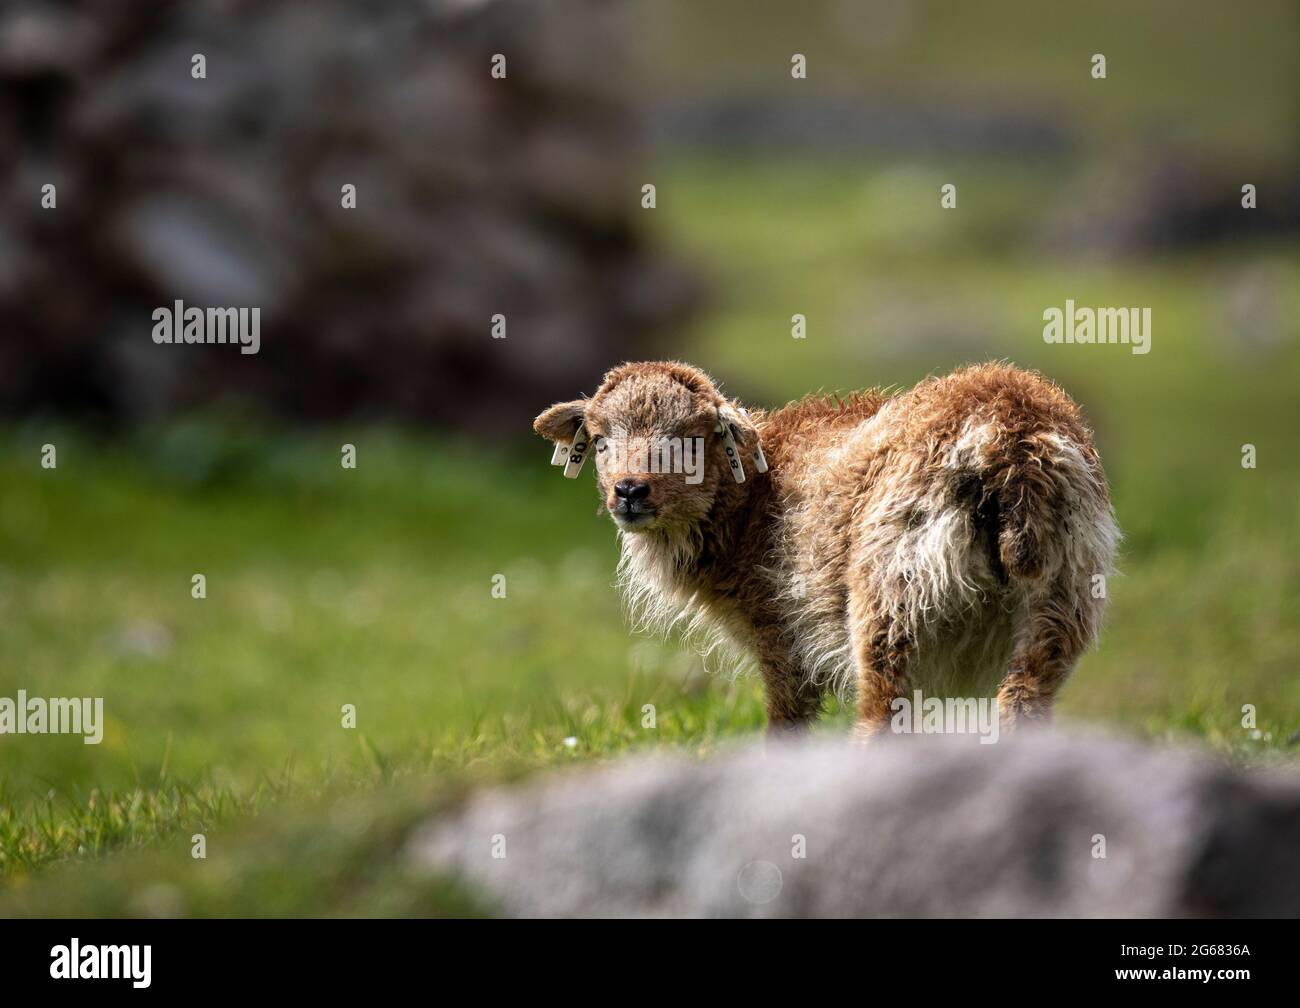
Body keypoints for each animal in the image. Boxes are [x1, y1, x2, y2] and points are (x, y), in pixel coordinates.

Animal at [533, 361, 1119, 739]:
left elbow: (786, 726)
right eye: (601, 441)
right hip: (1064, 592)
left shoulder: (783, 635)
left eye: (691, 440)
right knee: (1022, 702)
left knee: (883, 714)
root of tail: (1010, 434)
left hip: (893, 590)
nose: (630, 491)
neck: (748, 498)